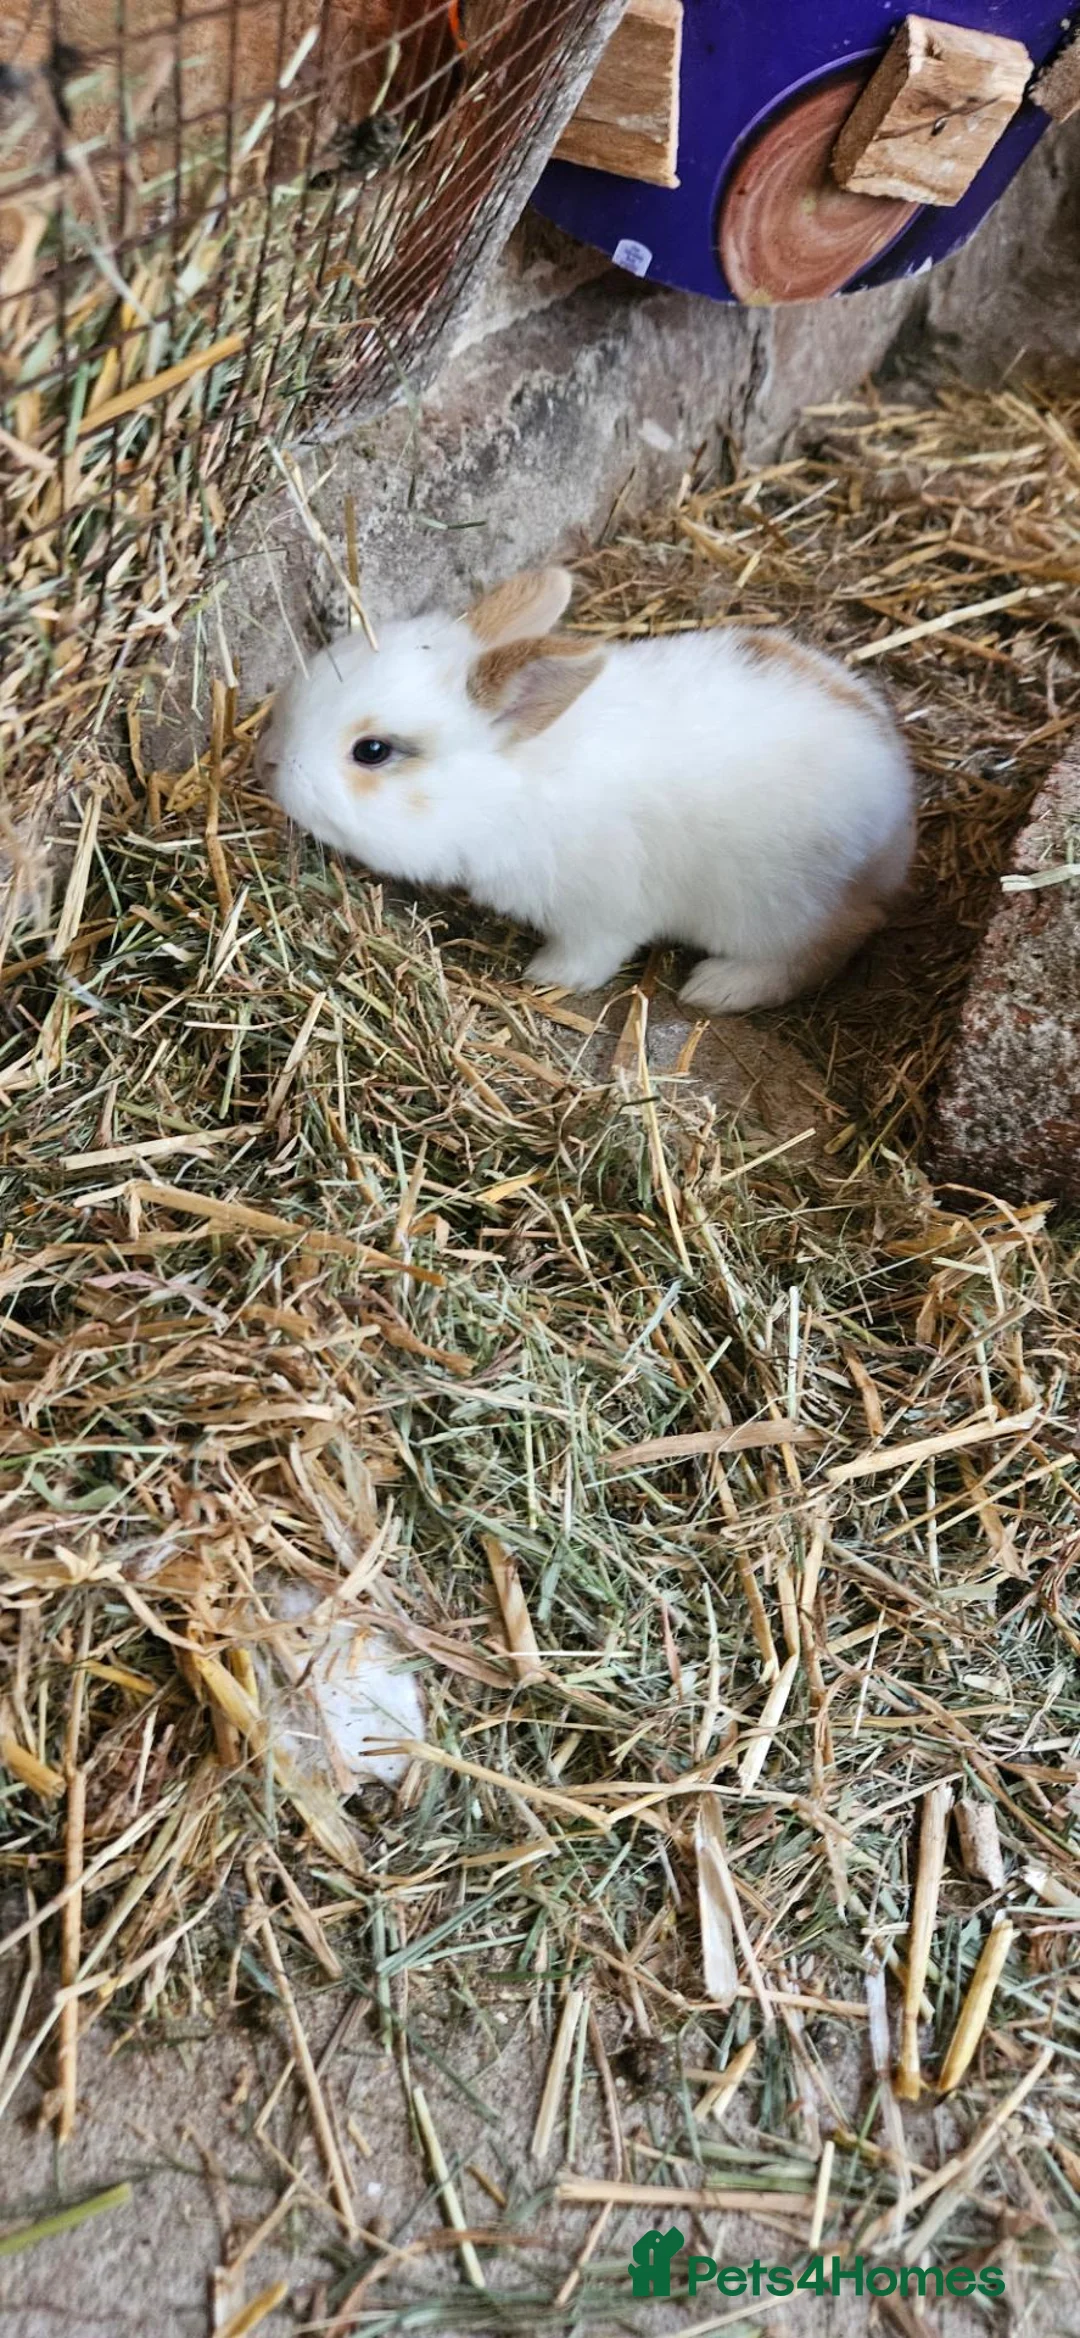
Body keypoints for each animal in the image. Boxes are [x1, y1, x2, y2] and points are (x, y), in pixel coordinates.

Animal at [258, 564, 916, 1013]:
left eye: (372, 751)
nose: (268, 761)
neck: (505, 788)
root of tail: (897, 817)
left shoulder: (602, 910)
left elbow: (593, 953)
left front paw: (547, 977)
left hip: (776, 908)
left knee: (830, 941)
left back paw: (718, 987)